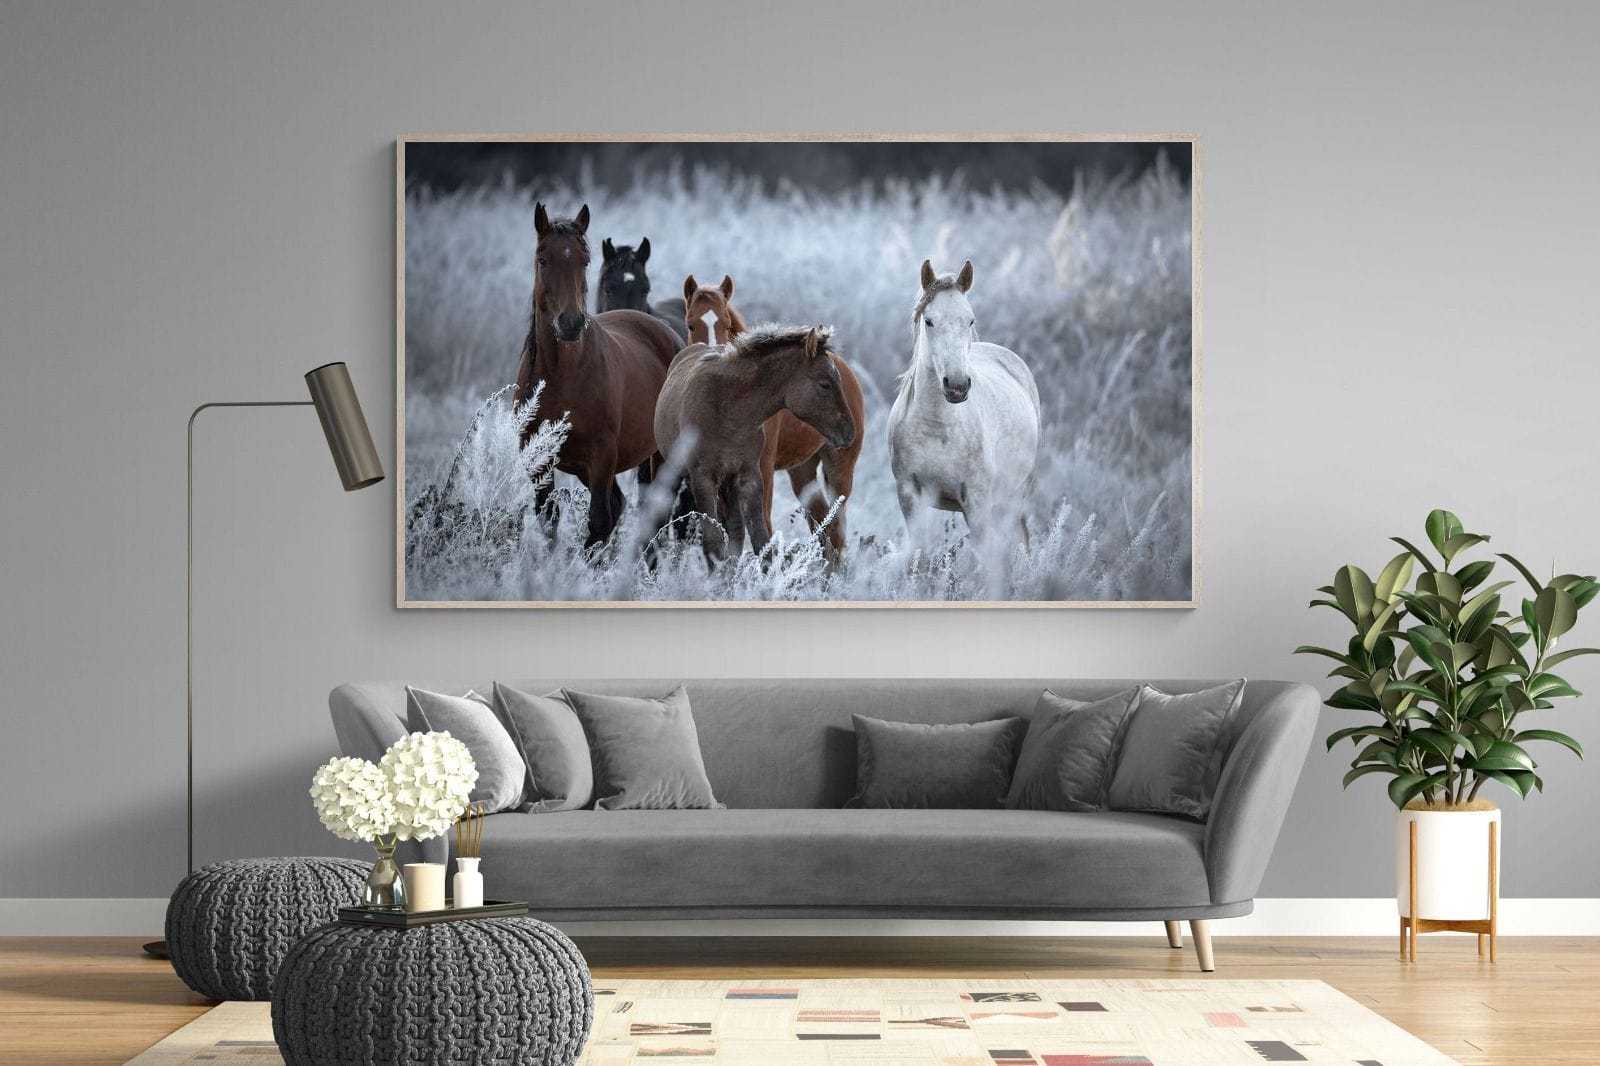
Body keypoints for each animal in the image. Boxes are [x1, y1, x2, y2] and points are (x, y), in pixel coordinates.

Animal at [512, 203, 683, 548]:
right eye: (542, 259)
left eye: (585, 261)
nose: (570, 323)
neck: (562, 375)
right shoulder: (539, 460)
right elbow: (549, 521)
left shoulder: (602, 455)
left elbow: (599, 522)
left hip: (659, 455)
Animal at [654, 324, 856, 560]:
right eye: (825, 385)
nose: (849, 432)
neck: (729, 411)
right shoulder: (703, 478)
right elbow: (714, 543)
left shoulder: (748, 476)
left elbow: (760, 540)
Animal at [683, 275, 866, 561]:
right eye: (691, 324)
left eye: (726, 323)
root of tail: (847, 370)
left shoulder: (761, 469)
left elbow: (763, 528)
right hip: (802, 470)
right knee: (822, 522)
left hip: (840, 467)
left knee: (836, 529)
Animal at [887, 259, 1041, 556]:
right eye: (929, 321)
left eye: (970, 320)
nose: (957, 386)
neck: (936, 427)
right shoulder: (910, 496)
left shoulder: (977, 502)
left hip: (1013, 497)